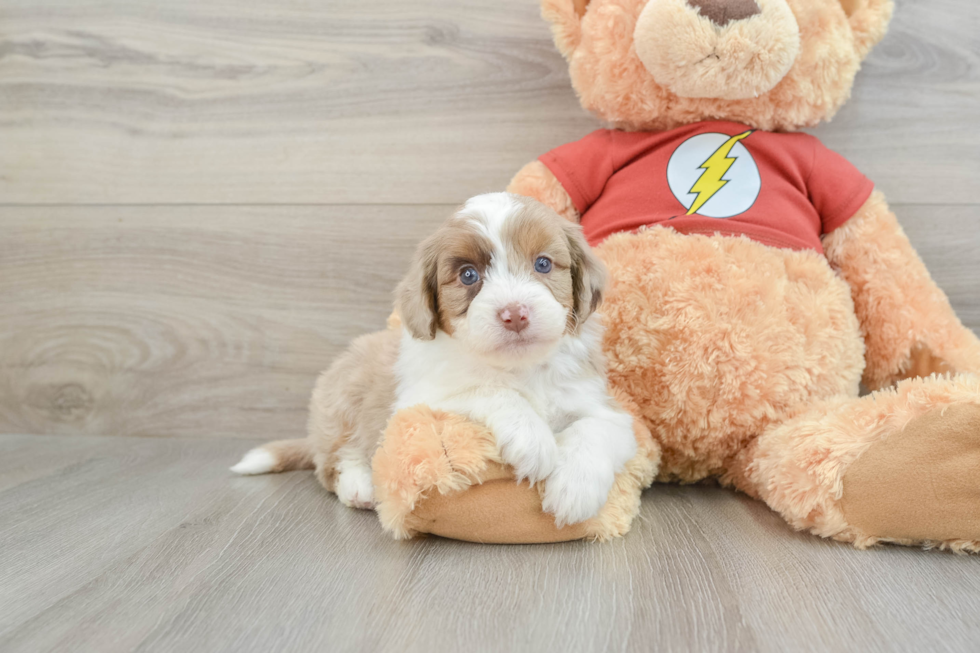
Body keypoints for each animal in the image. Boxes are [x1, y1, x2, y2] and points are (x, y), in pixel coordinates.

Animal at [234, 192, 640, 524]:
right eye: (468, 275)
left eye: (542, 264)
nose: (515, 314)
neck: (519, 367)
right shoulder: (421, 398)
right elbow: (490, 391)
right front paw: (533, 440)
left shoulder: (600, 404)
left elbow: (597, 428)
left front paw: (575, 490)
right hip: (342, 400)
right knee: (334, 461)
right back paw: (360, 486)